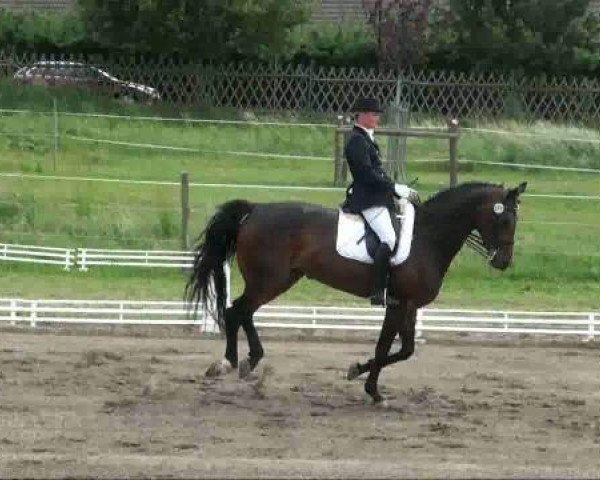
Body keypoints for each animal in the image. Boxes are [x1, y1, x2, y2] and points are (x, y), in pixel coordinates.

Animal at [185, 182, 528, 404]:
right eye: (504, 219)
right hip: (270, 280)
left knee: (242, 312)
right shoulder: (398, 303)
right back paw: (230, 363)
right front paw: (372, 389)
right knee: (237, 311)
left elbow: (403, 350)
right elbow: (386, 347)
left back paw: (246, 361)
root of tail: (255, 210)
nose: (503, 262)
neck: (428, 236)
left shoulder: (408, 305)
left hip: (279, 280)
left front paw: (360, 374)